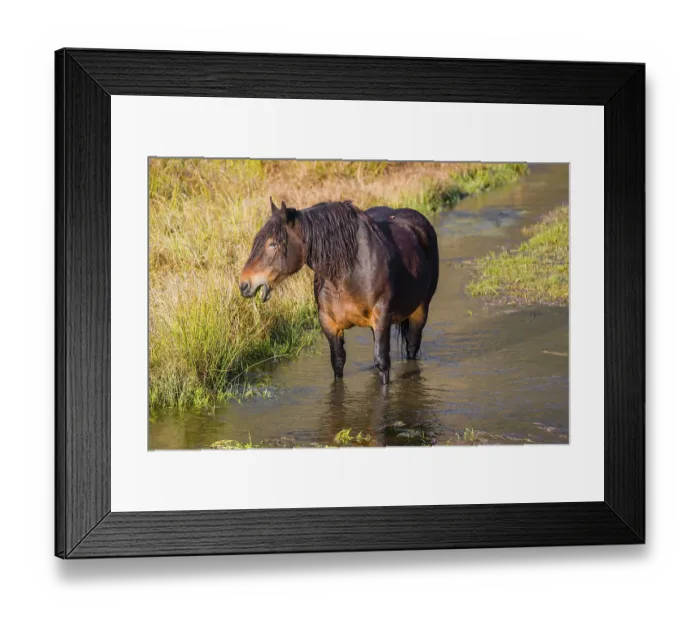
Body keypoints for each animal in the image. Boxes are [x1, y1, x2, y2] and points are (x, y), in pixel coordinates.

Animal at [239, 198, 439, 385]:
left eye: (273, 244)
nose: (244, 284)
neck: (349, 273)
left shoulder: (382, 319)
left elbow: (382, 363)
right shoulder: (329, 323)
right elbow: (337, 362)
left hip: (420, 311)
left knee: (412, 346)